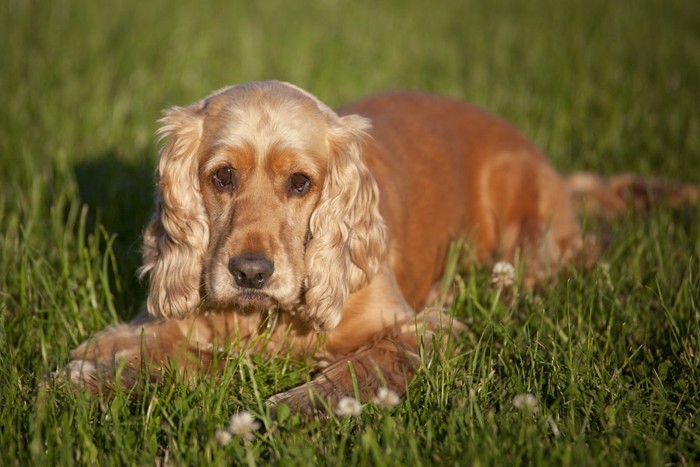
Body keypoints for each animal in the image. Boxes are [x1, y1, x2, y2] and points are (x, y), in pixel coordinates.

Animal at [65, 81, 696, 416]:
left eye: (301, 183)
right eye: (222, 177)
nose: (249, 272)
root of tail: (557, 173)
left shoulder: (429, 331)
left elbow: (363, 366)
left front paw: (287, 409)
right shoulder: (172, 320)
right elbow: (136, 347)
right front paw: (82, 381)